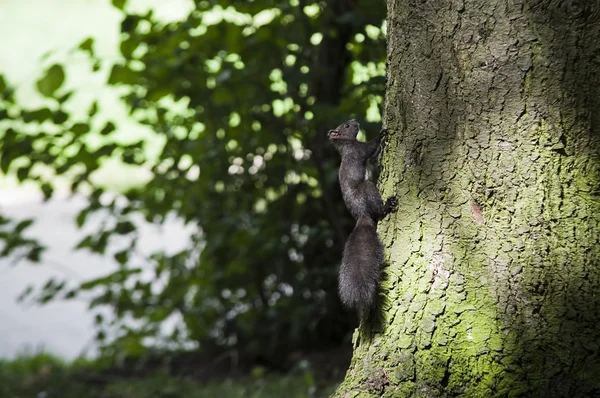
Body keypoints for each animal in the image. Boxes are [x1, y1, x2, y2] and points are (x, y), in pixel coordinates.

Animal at [326, 119, 396, 312]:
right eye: (346, 126)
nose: (354, 121)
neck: (345, 144)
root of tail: (362, 214)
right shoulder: (359, 149)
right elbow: (370, 148)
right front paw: (382, 134)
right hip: (368, 189)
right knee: (378, 209)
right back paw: (387, 205)